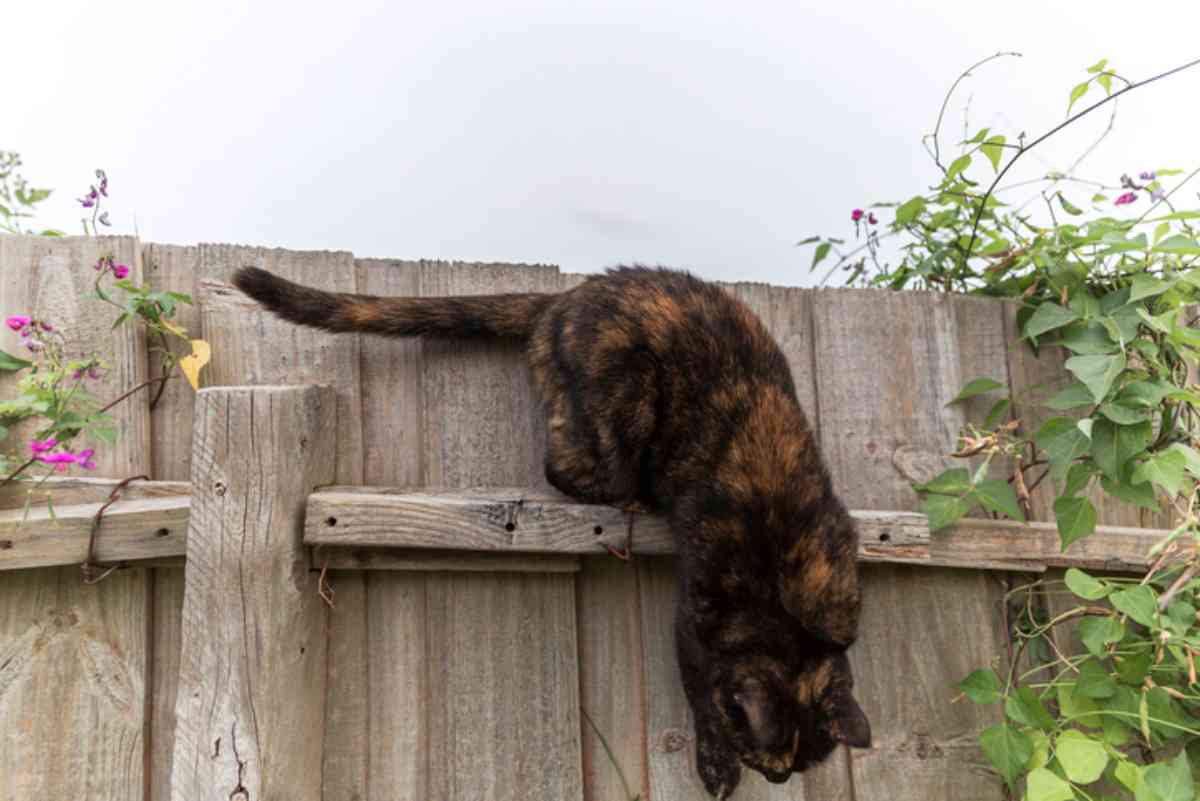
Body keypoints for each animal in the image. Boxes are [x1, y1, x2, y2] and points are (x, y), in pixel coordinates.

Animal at [236, 263, 873, 796]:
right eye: (767, 760)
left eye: (799, 766)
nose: (779, 781)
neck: (792, 620)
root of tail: (570, 294)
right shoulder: (694, 621)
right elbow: (699, 690)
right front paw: (715, 763)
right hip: (624, 398)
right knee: (562, 464)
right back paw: (631, 493)